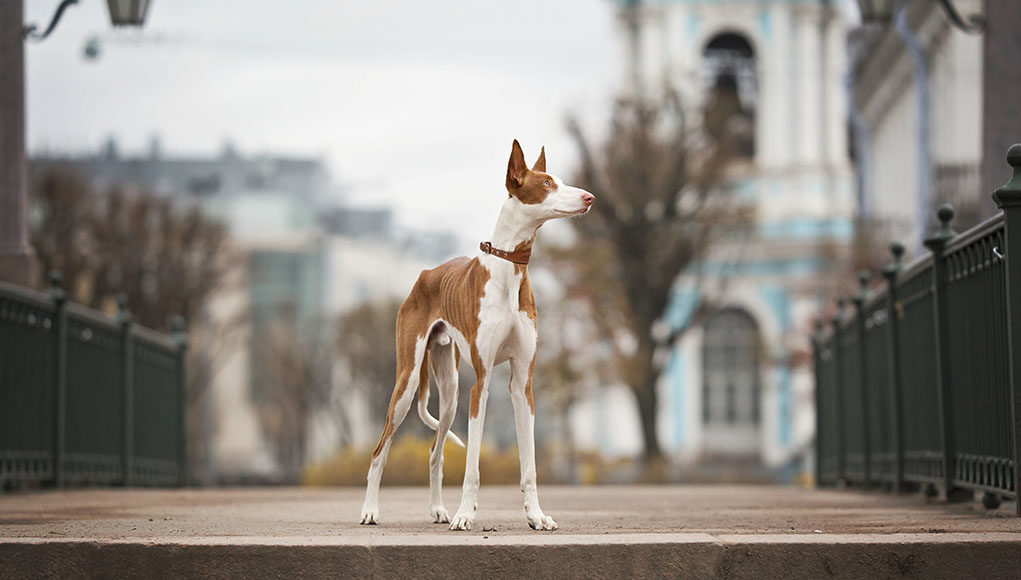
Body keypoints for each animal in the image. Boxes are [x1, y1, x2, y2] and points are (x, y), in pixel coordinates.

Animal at [363, 138, 596, 530]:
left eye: (560, 180)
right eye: (547, 183)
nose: (590, 197)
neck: (509, 269)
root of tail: (425, 275)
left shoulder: (522, 384)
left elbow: (529, 466)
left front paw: (536, 515)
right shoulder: (481, 384)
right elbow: (472, 465)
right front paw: (465, 514)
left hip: (450, 391)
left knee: (434, 452)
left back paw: (437, 509)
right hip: (407, 385)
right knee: (380, 451)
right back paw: (370, 510)